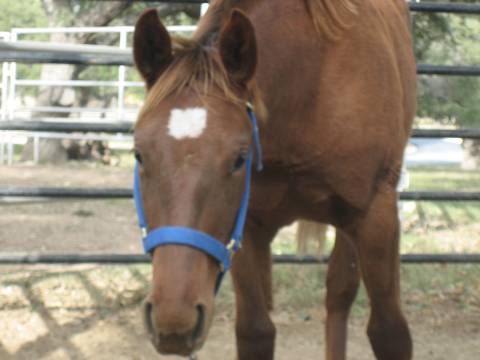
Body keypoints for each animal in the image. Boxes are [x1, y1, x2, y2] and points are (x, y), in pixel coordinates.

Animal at [131, 1, 416, 358]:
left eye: (240, 158)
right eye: (139, 154)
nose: (174, 318)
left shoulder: (375, 216)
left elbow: (389, 333)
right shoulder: (246, 226)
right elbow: (255, 331)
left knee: (339, 295)